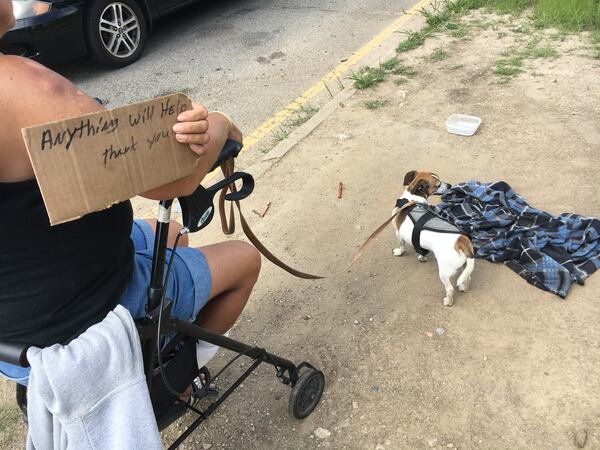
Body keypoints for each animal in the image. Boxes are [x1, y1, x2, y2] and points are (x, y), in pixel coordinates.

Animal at [392, 171, 476, 308]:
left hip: (444, 272)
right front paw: (422, 257)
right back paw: (464, 288)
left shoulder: (398, 234)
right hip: (465, 265)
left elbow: (402, 246)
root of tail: (461, 240)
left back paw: (448, 301)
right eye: (438, 185)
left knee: (450, 289)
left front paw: (399, 252)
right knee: (468, 277)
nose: (450, 185)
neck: (413, 198)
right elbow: (421, 249)